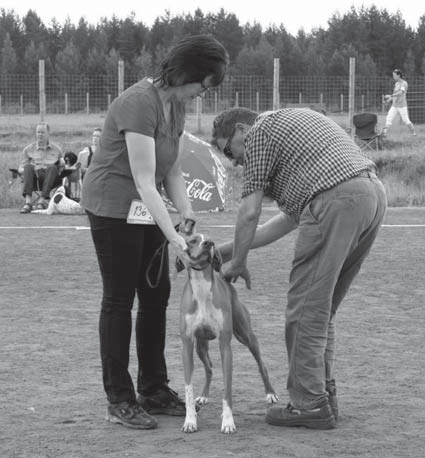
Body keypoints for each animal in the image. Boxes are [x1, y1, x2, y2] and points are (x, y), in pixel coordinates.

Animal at [176, 233, 278, 432]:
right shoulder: (187, 345)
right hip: (200, 346)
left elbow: (227, 387)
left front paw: (228, 421)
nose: (208, 243)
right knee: (209, 368)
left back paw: (270, 394)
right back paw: (203, 395)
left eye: (210, 239)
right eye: (193, 240)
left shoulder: (225, 345)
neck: (201, 289)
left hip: (247, 336)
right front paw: (190, 420)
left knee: (262, 365)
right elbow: (188, 388)